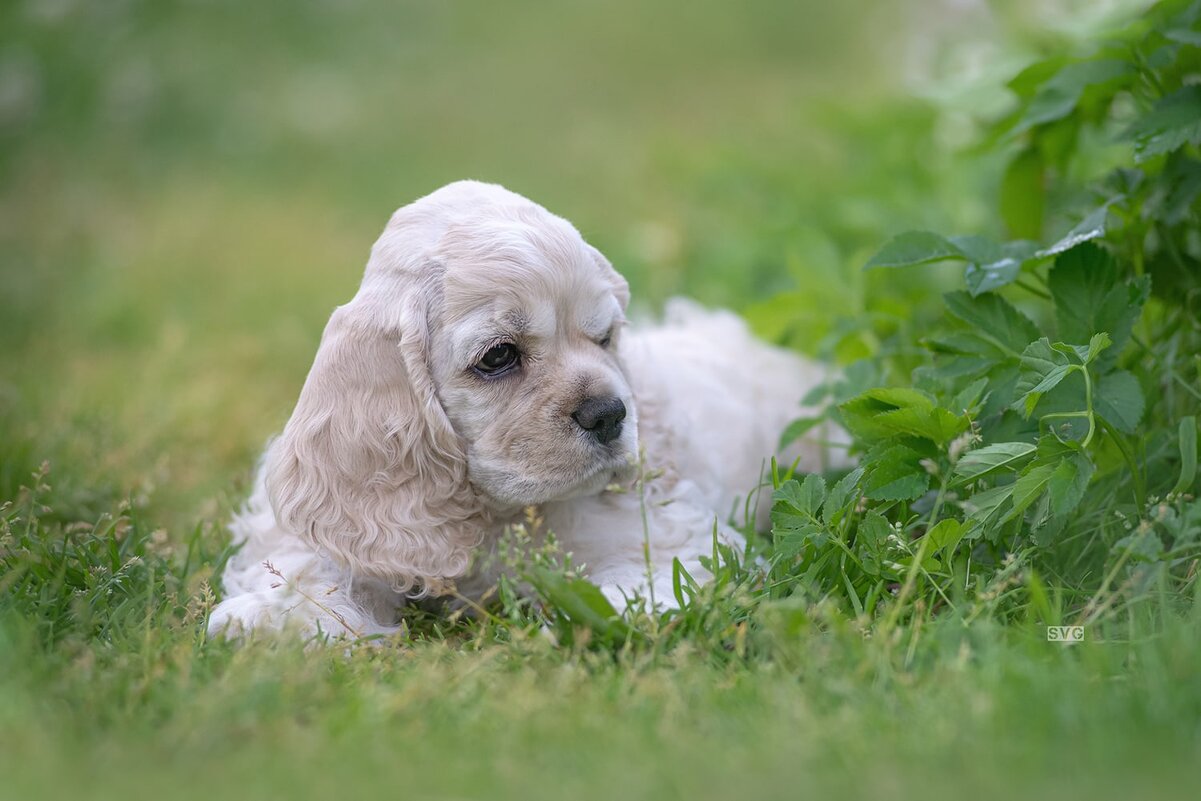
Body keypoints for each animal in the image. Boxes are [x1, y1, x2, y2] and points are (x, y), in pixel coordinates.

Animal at [206, 180, 840, 638]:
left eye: (605, 337)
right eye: (499, 356)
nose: (611, 414)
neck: (496, 513)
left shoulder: (661, 528)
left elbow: (641, 578)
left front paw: (603, 614)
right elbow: (310, 562)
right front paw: (269, 620)